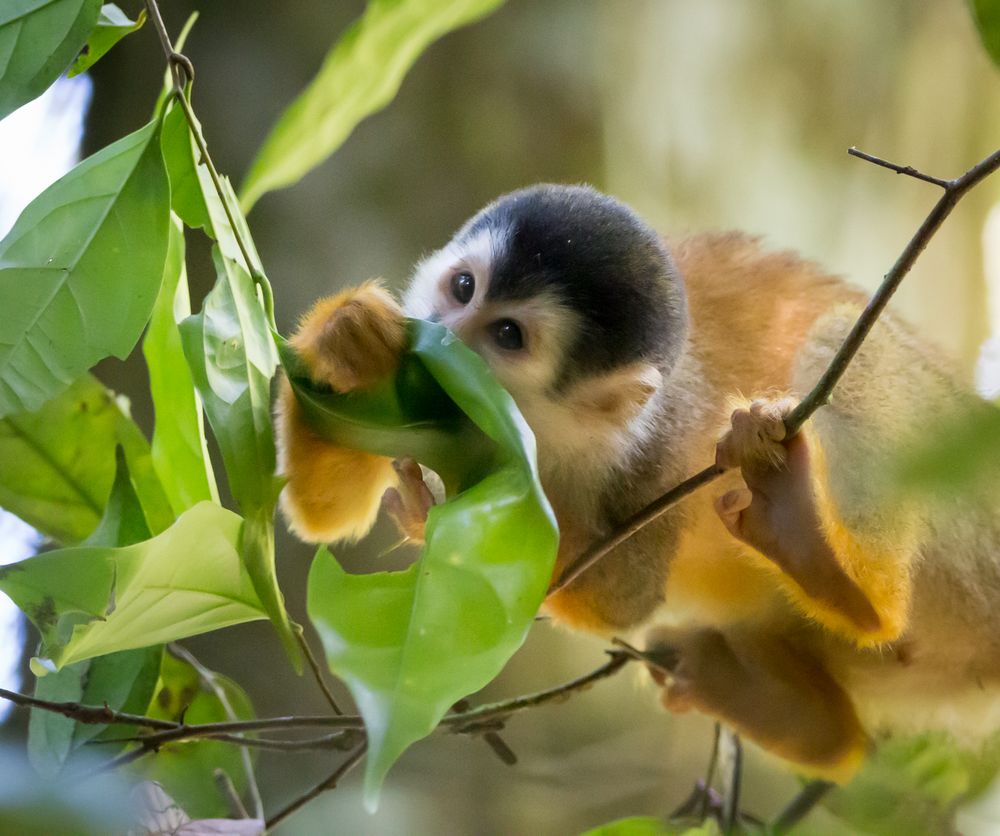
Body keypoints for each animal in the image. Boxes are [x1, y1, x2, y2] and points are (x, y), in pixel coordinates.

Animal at [278, 183, 1000, 784]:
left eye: (506, 334)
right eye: (462, 288)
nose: (439, 339)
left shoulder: (665, 444)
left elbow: (627, 598)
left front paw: (437, 511)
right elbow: (326, 518)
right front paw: (350, 339)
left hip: (970, 533)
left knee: (840, 337)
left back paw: (828, 566)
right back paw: (809, 725)